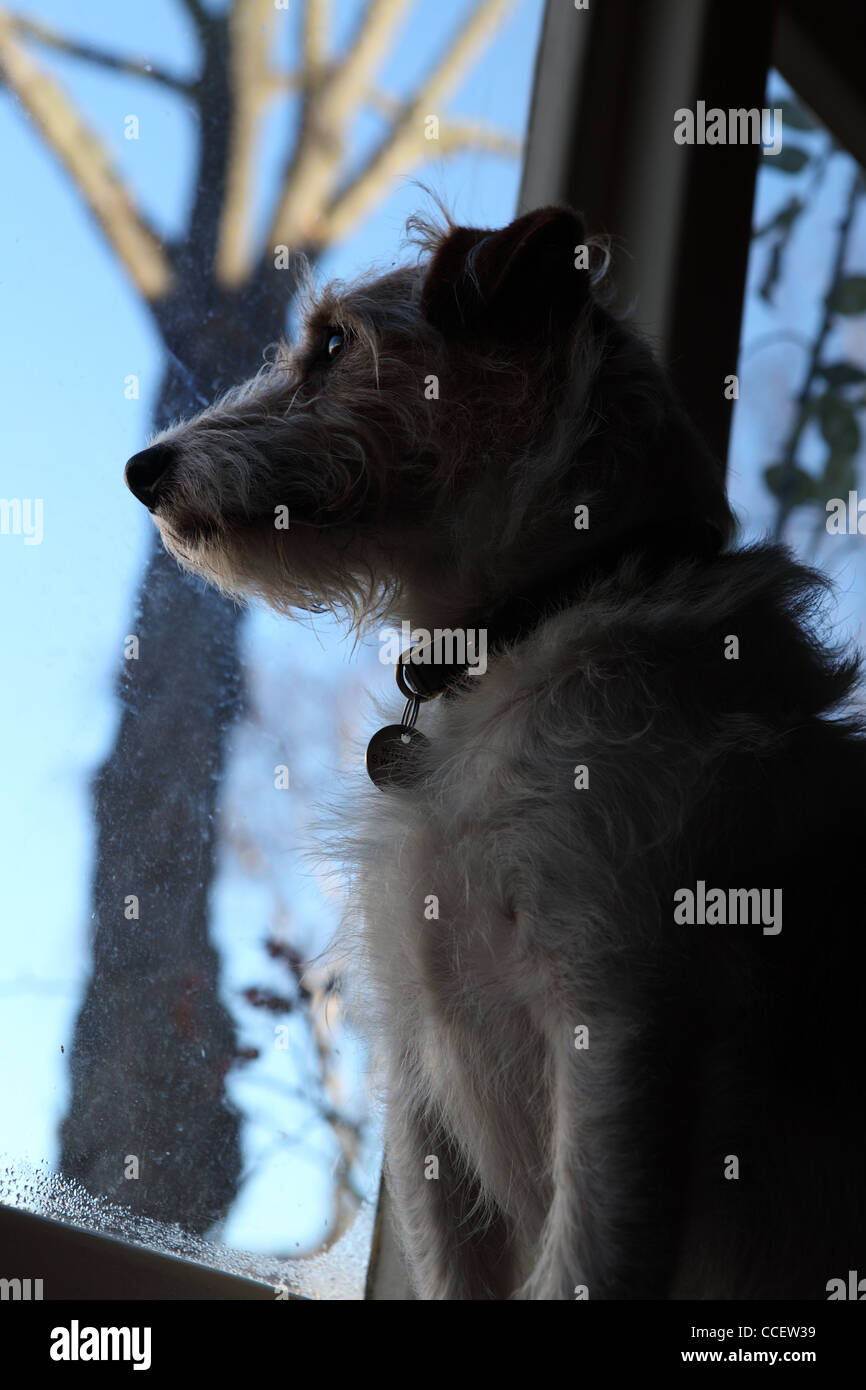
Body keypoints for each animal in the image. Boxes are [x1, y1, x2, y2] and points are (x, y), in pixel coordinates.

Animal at [122, 208, 866, 1301]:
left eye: (335, 344)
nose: (142, 469)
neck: (522, 630)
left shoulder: (623, 1038)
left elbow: (580, 1260)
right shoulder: (421, 1057)